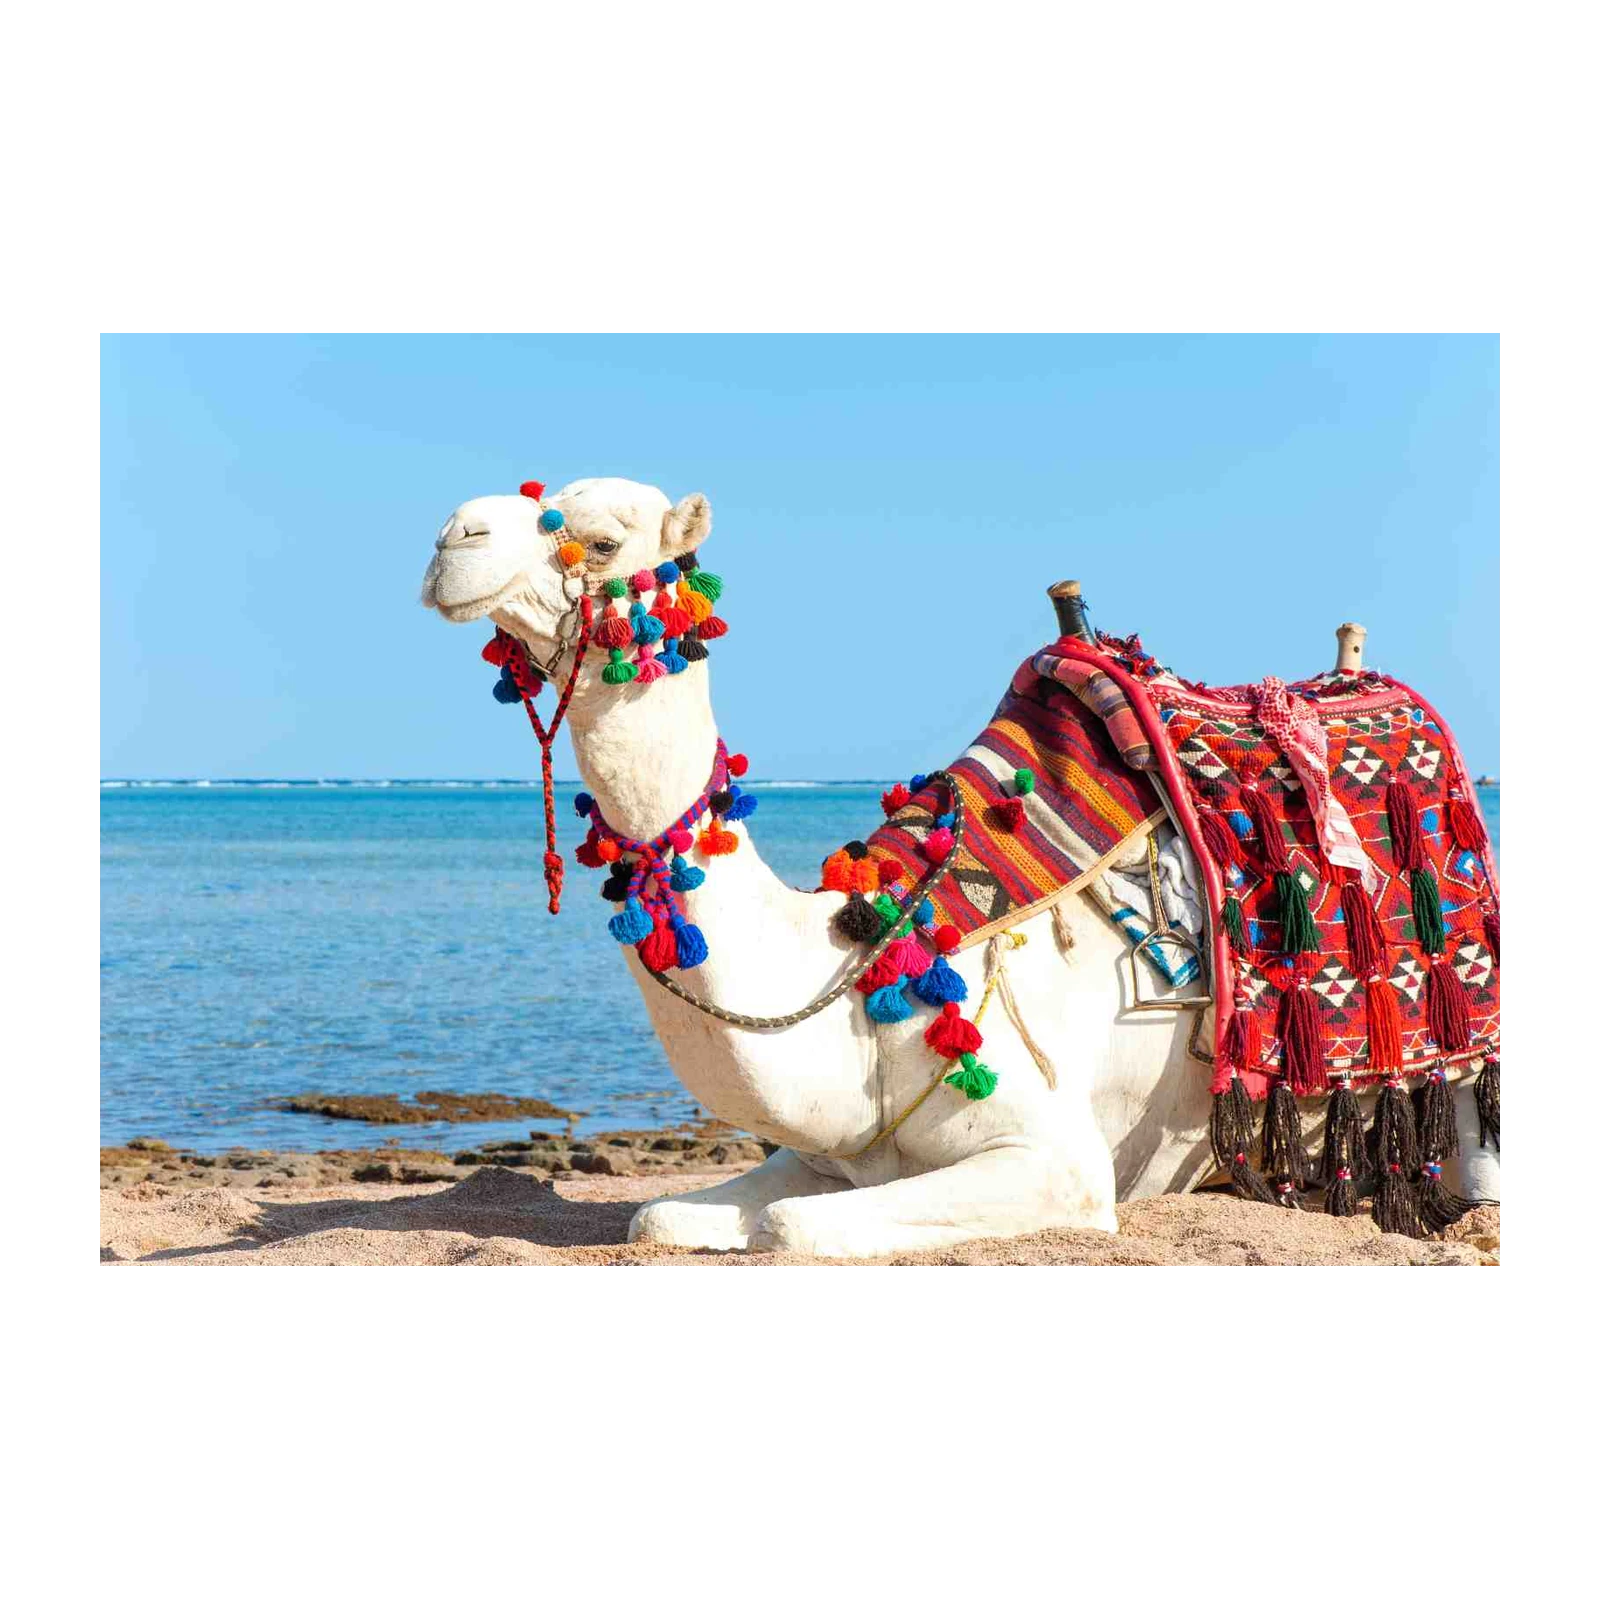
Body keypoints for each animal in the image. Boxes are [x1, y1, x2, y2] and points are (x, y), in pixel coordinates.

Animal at [420, 477, 1503, 1257]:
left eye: (602, 541)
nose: (450, 537)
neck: (868, 967)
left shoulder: (1058, 1161)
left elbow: (790, 1230)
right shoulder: (833, 1154)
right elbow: (663, 1215)